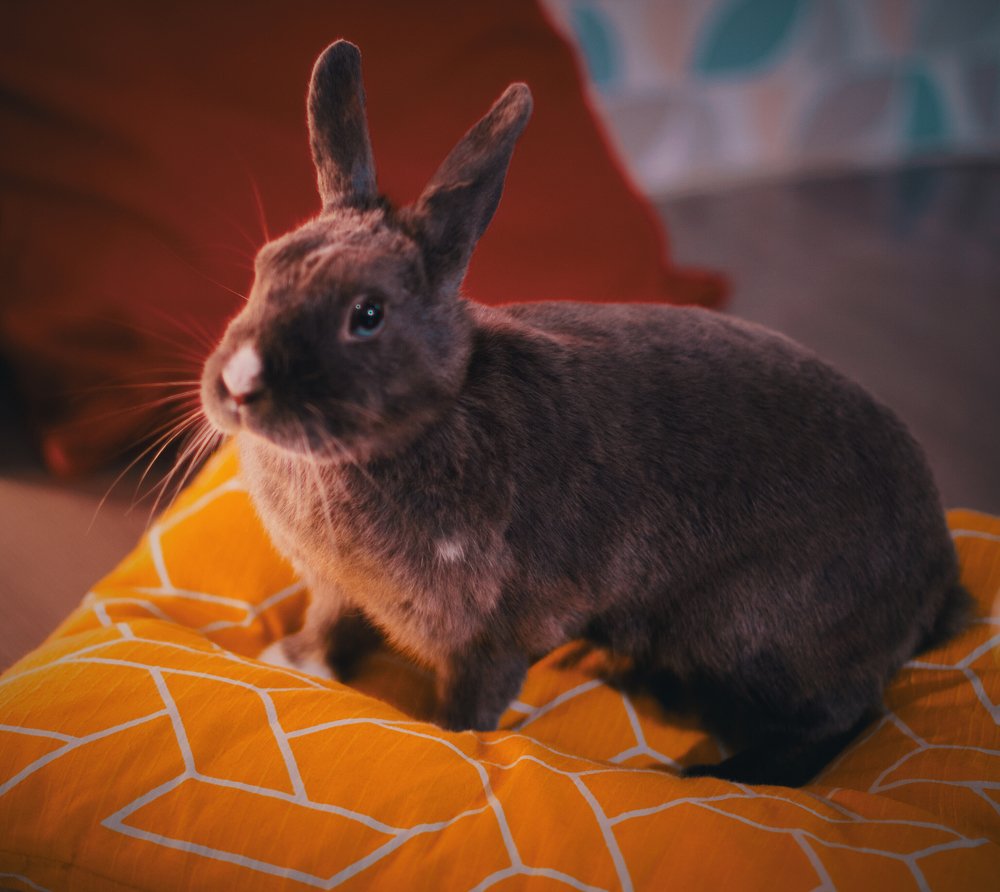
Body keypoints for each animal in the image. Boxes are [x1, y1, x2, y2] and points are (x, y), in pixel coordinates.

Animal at [199, 40, 972, 787]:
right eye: (265, 266)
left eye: (367, 315)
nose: (237, 383)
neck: (426, 421)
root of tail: (938, 576)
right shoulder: (336, 589)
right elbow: (329, 625)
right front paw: (291, 659)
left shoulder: (495, 634)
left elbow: (469, 706)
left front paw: (448, 740)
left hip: (756, 634)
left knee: (838, 722)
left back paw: (712, 772)